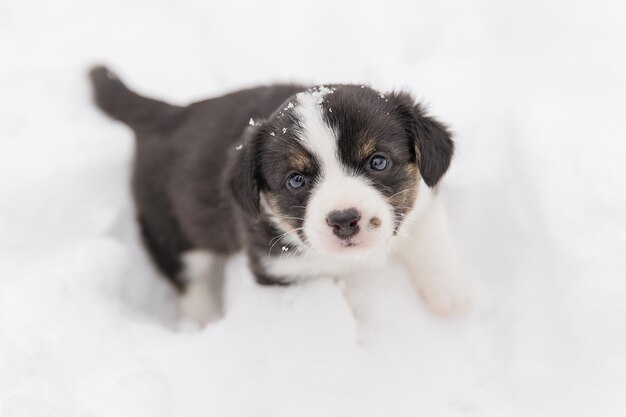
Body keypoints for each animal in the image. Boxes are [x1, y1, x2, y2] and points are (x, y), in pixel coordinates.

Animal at [89, 66, 468, 324]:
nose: (344, 220)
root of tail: (167, 113)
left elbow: (430, 241)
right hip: (170, 229)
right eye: (296, 180)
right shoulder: (281, 271)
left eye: (378, 161)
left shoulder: (425, 201)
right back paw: (205, 320)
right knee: (188, 278)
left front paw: (451, 297)